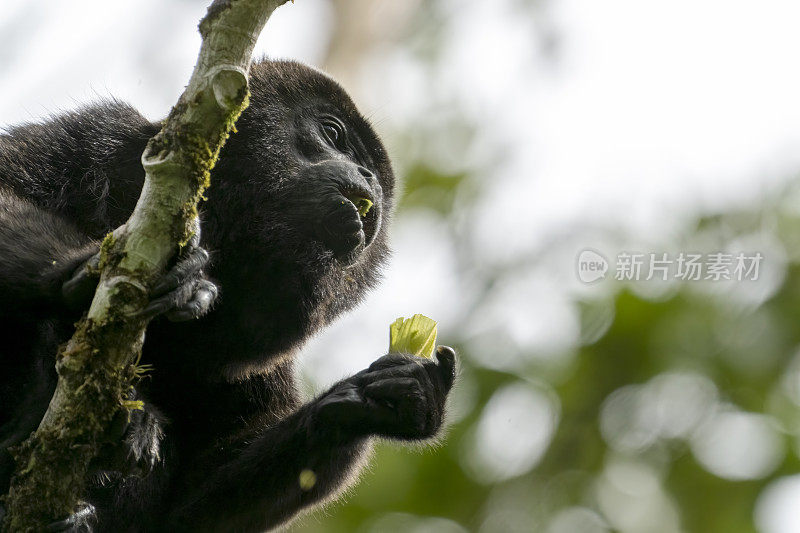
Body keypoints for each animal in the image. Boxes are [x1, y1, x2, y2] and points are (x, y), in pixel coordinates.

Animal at [0, 60, 456, 528]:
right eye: (333, 134)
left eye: (375, 173)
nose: (369, 179)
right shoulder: (97, 136)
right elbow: (9, 185)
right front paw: (81, 274)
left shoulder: (264, 365)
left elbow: (188, 514)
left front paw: (370, 402)